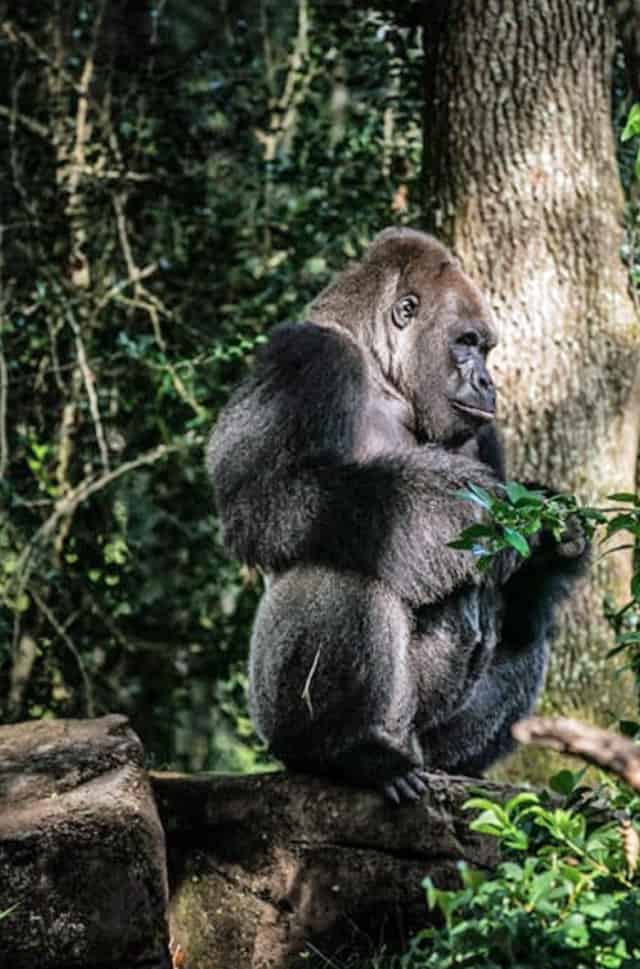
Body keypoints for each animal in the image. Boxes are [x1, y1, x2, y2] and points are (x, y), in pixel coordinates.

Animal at [208, 227, 588, 800]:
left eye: (485, 348)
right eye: (466, 343)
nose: (488, 383)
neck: (383, 369)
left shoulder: (483, 430)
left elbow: (517, 575)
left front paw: (552, 539)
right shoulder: (305, 356)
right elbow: (267, 494)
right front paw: (453, 505)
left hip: (427, 738)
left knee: (529, 626)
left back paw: (459, 767)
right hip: (278, 720)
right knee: (351, 558)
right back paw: (349, 753)